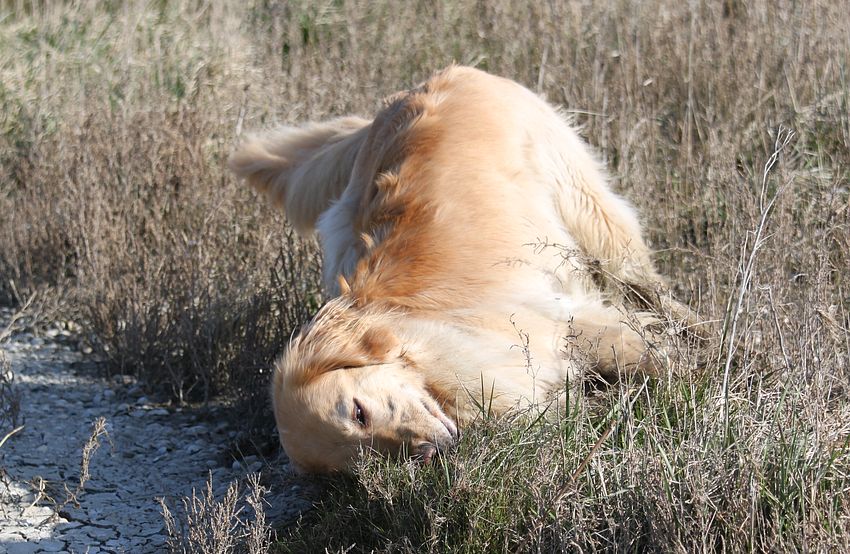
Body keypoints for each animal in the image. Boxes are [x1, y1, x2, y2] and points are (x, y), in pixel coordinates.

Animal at [229, 66, 693, 473]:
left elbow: (650, 353)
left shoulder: (569, 320)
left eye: (359, 413)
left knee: (641, 276)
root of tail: (423, 83)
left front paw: (689, 374)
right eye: (365, 460)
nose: (428, 454)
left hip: (585, 207)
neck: (419, 338)